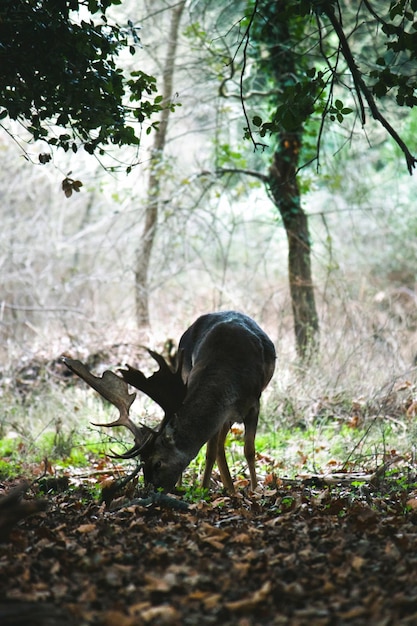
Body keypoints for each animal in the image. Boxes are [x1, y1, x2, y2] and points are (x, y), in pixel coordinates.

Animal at [61, 310, 274, 490]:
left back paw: (230, 488)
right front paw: (204, 489)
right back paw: (221, 488)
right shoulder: (222, 413)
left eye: (158, 463)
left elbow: (249, 450)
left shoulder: (254, 403)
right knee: (218, 447)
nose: (150, 489)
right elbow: (210, 452)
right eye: (142, 463)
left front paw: (255, 490)